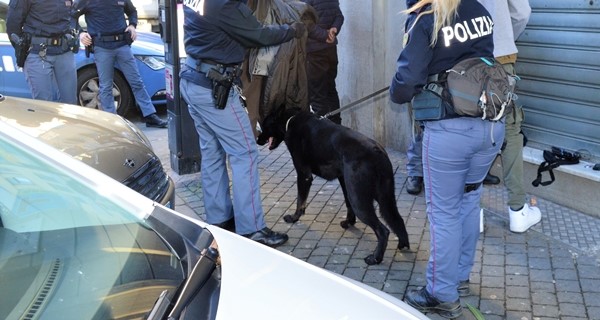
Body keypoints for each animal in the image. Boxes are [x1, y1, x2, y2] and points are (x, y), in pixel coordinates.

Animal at [255, 109, 410, 264]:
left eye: (264, 126)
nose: (257, 140)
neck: (289, 121)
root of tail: (377, 151)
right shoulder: (343, 181)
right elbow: (347, 204)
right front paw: (349, 222)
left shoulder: (304, 175)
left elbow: (300, 200)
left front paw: (294, 218)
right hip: (384, 197)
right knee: (397, 219)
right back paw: (403, 244)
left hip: (359, 200)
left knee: (383, 231)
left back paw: (376, 258)